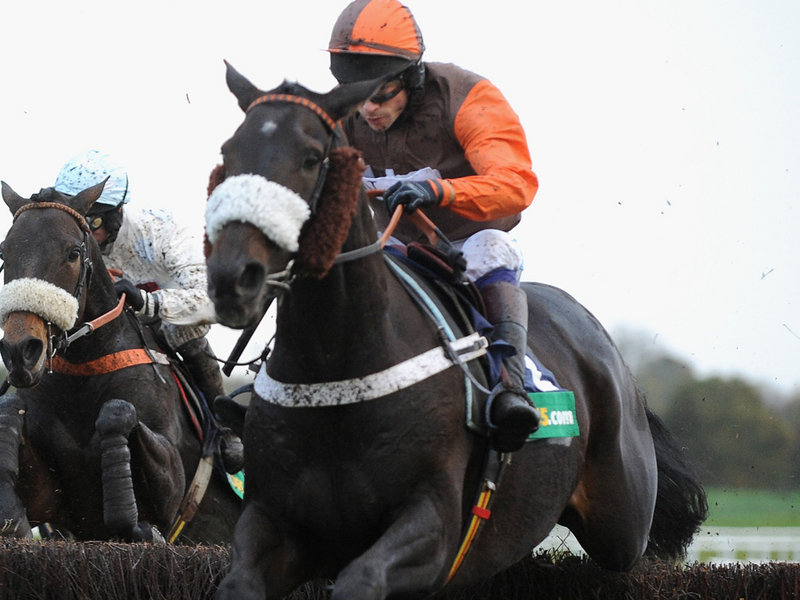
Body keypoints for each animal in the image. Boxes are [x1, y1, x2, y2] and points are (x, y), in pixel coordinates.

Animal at [0, 182, 239, 544]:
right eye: (4, 253)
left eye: (73, 253)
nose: (20, 350)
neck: (84, 369)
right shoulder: (53, 500)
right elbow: (11, 409)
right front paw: (12, 517)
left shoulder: (172, 486)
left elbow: (117, 411)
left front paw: (130, 516)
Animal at [203, 62, 704, 600]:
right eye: (228, 152)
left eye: (311, 157)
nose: (234, 276)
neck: (338, 366)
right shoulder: (272, 520)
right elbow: (239, 583)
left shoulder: (433, 529)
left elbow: (363, 578)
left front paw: (418, 190)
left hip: (622, 520)